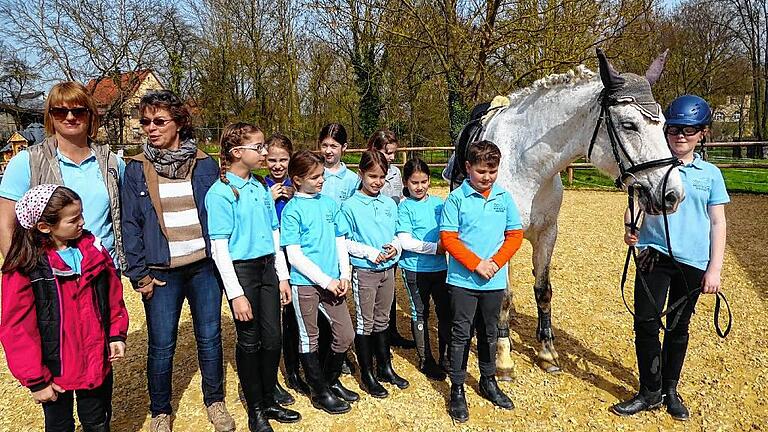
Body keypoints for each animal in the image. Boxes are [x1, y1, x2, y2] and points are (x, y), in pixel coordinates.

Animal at [474, 49, 684, 374]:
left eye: (662, 125)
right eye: (629, 125)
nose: (672, 195)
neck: (526, 166)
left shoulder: (548, 234)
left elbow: (543, 290)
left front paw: (547, 353)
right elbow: (505, 297)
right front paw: (504, 357)